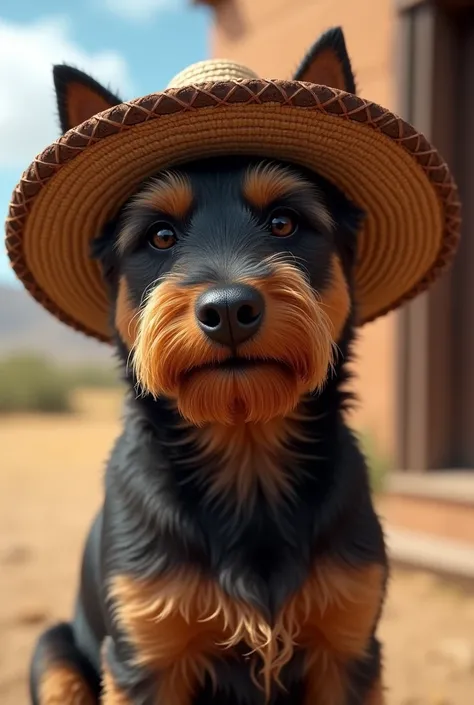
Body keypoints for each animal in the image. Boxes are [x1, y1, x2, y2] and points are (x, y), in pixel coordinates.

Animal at [26, 27, 388, 704]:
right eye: (161, 236)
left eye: (284, 222)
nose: (228, 310)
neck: (245, 455)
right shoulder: (146, 655)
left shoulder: (349, 646)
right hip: (53, 652)